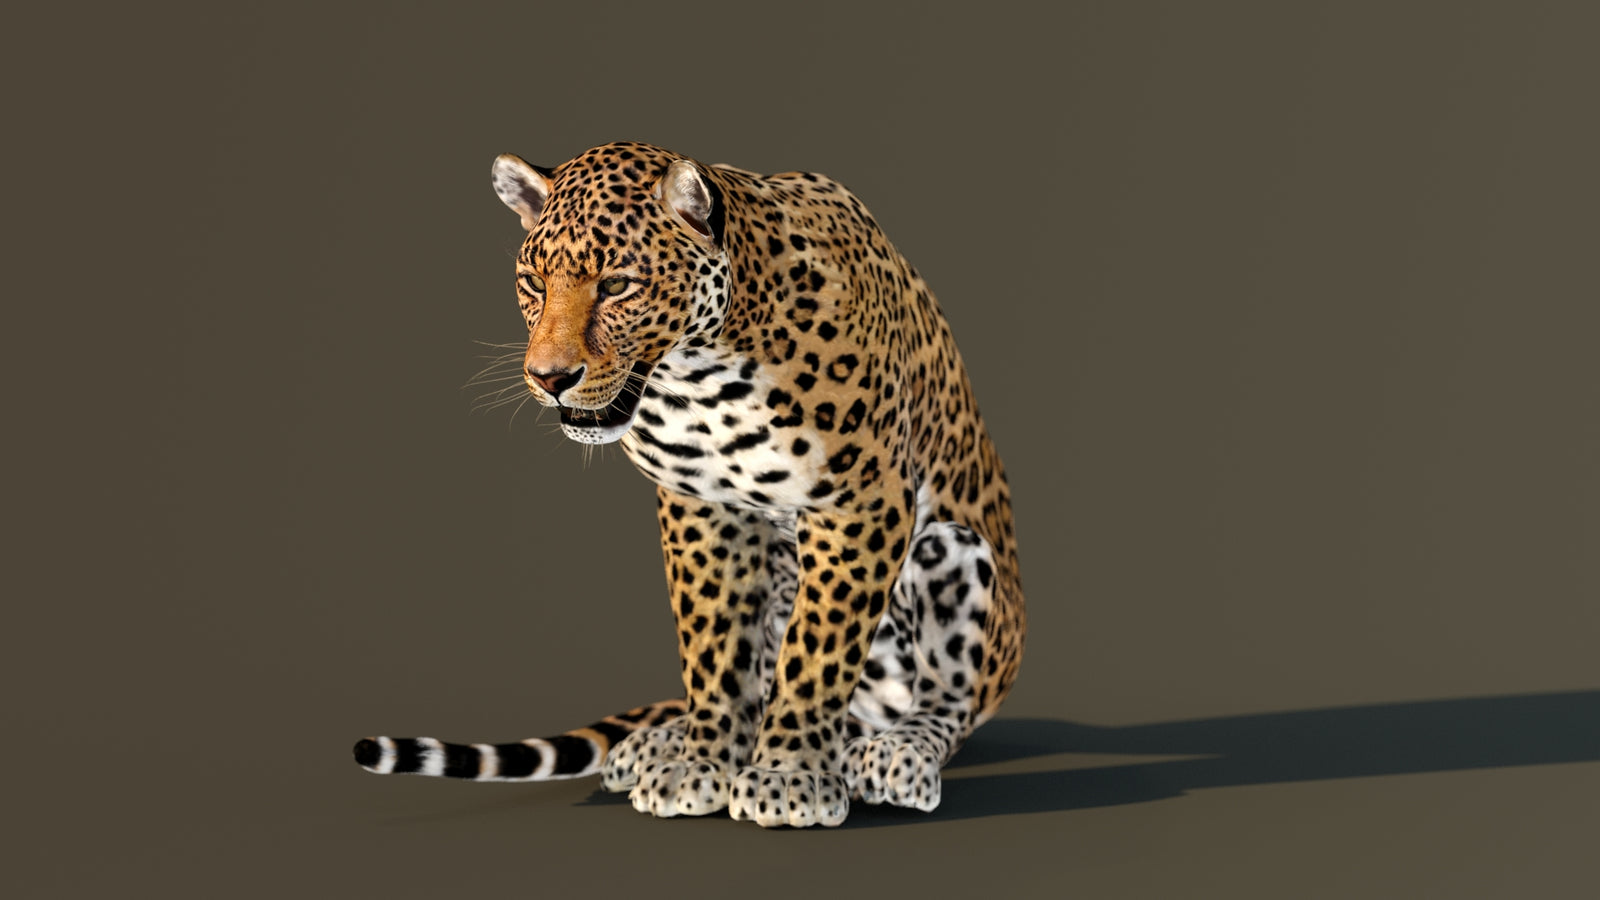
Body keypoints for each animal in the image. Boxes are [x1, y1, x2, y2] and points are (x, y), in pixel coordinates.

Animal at [353, 141, 1025, 828]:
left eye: (617, 285)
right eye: (535, 283)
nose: (549, 378)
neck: (705, 376)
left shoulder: (862, 501)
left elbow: (816, 649)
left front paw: (788, 776)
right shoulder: (703, 505)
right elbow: (714, 647)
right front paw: (701, 762)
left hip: (955, 553)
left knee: (946, 700)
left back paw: (897, 753)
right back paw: (653, 744)